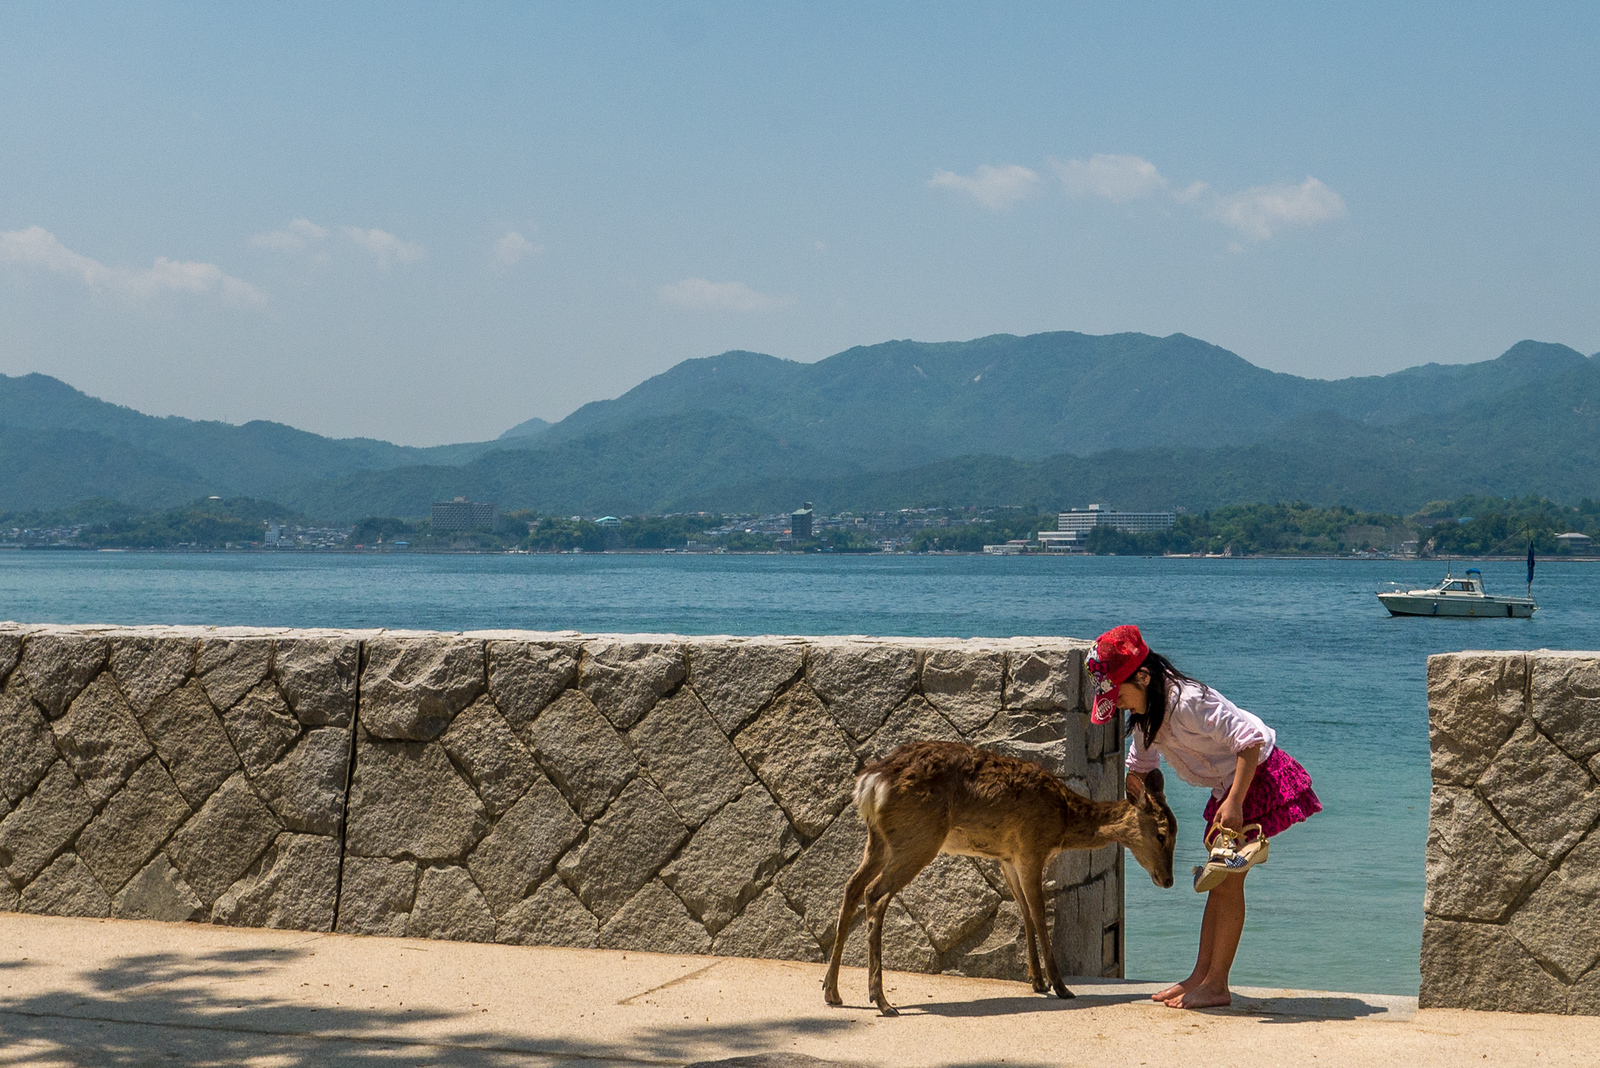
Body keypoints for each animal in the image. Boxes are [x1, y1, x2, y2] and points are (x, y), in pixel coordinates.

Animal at [821, 739, 1176, 1016]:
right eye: (1162, 835)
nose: (1168, 880)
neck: (1063, 821)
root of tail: (871, 782)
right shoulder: (1032, 847)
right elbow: (1039, 912)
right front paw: (1060, 986)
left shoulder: (1009, 858)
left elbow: (1024, 911)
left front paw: (1037, 980)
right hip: (919, 837)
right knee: (875, 893)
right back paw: (881, 1001)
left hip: (880, 839)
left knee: (852, 887)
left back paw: (832, 991)